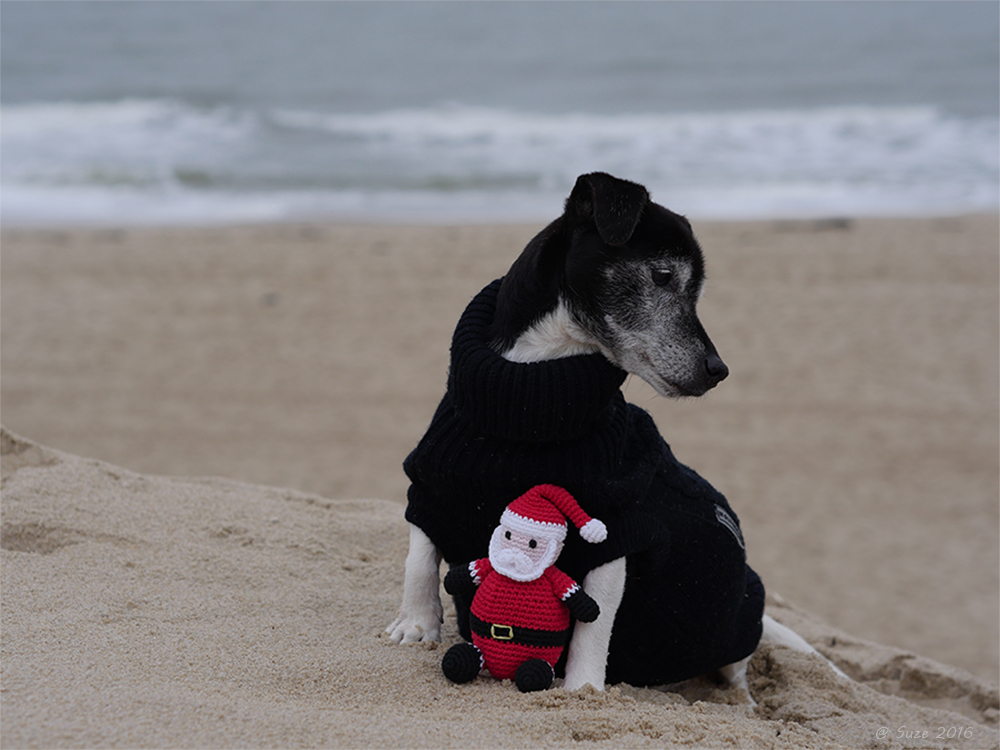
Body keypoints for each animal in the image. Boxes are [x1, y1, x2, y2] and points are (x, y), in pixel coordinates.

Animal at [386, 173, 848, 696]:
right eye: (663, 275)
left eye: (696, 291)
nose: (719, 370)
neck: (528, 400)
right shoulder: (430, 481)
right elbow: (419, 554)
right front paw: (415, 625)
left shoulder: (614, 530)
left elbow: (593, 624)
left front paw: (583, 689)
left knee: (738, 672)